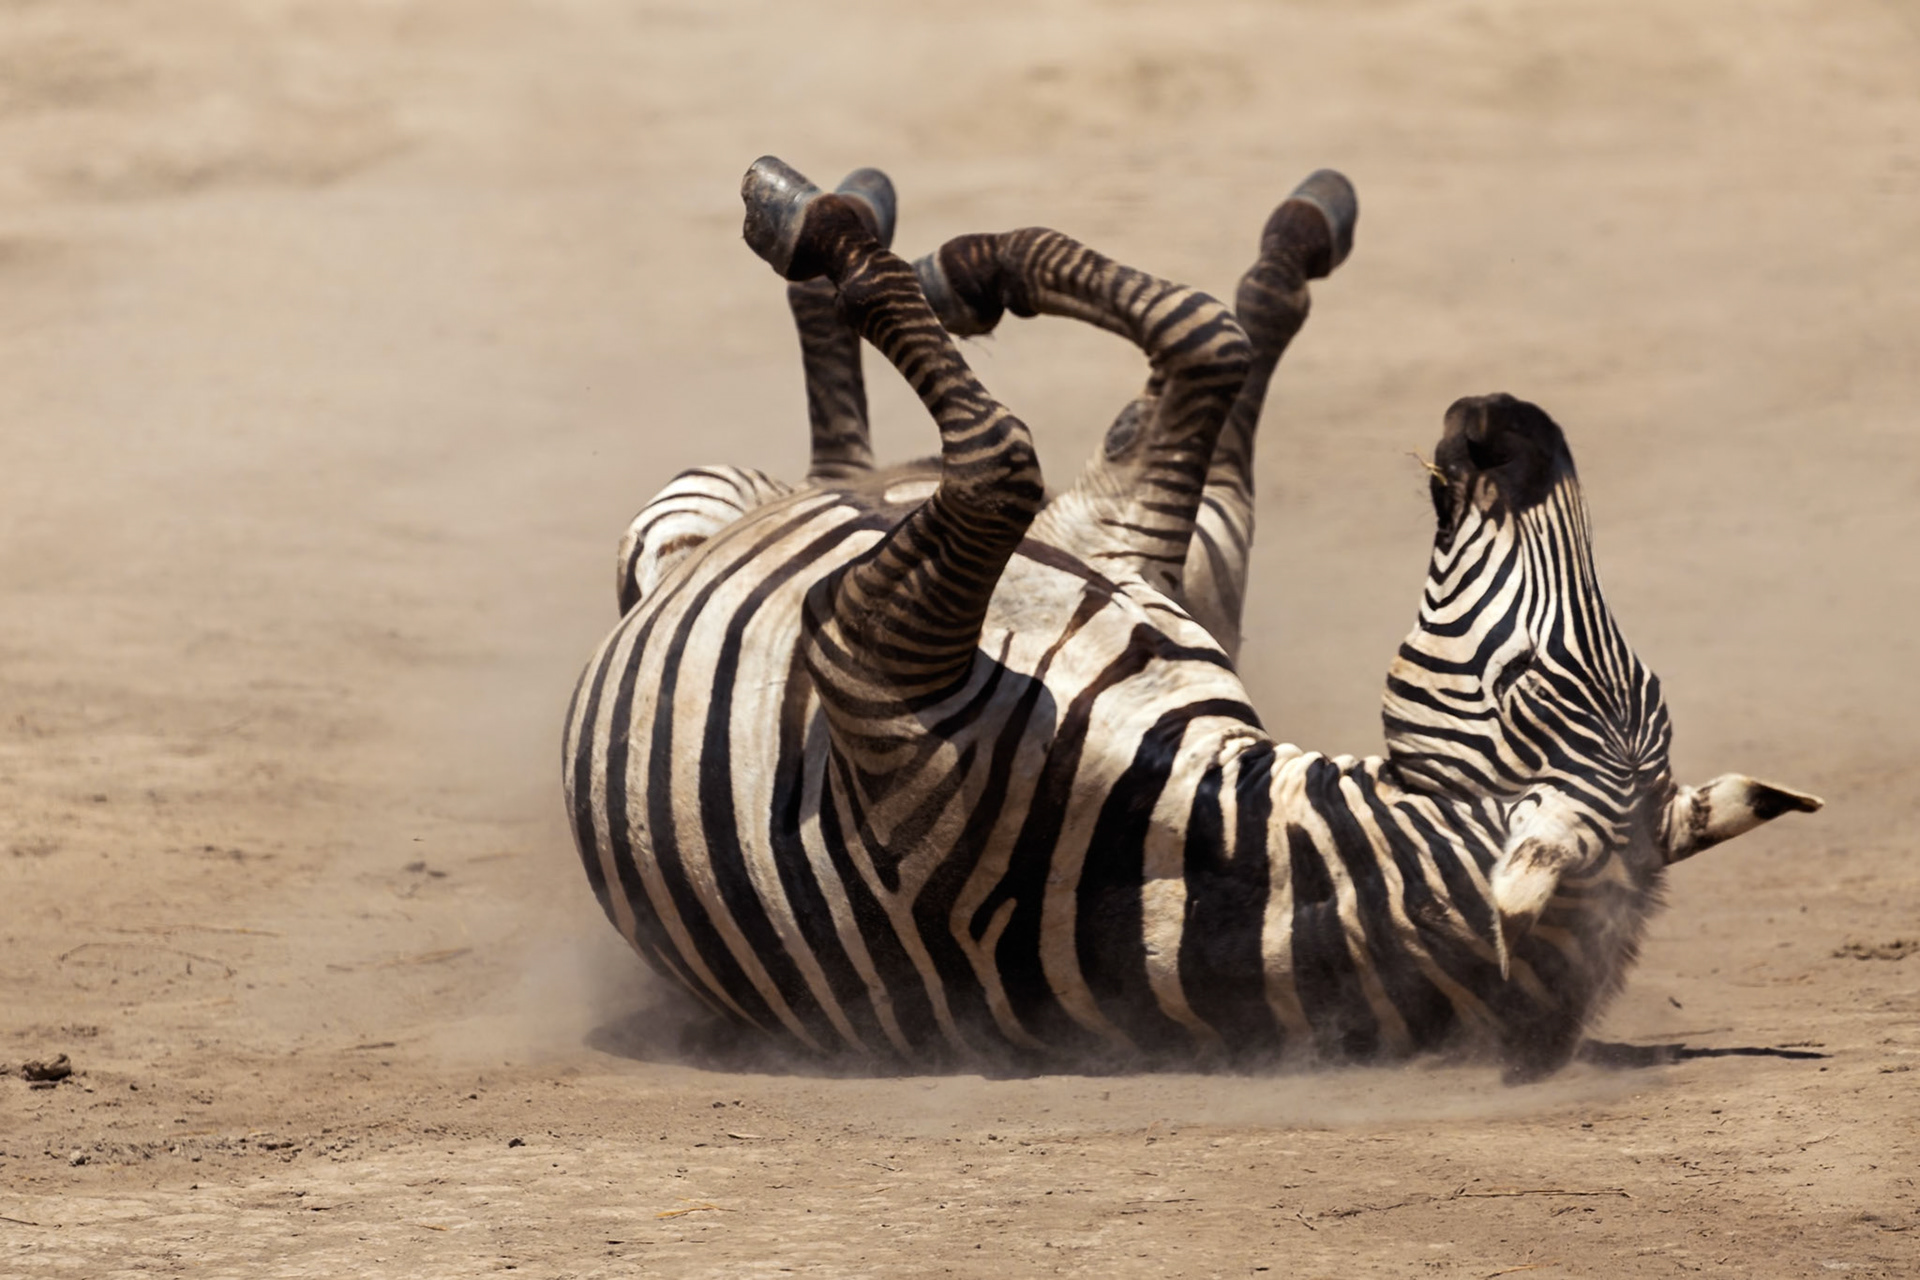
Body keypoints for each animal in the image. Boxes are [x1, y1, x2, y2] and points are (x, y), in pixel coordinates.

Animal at [564, 158, 1821, 1081]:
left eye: (1527, 699)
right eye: (1602, 686)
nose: (1508, 419)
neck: (1183, 851)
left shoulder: (870, 669)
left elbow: (1003, 450)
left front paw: (824, 225)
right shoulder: (1125, 564)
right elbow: (1199, 339)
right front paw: (963, 260)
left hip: (702, 519)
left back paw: (830, 228)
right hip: (1131, 548)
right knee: (1184, 378)